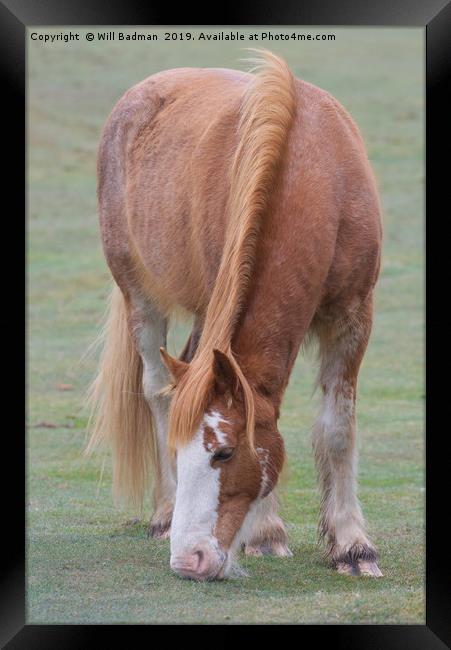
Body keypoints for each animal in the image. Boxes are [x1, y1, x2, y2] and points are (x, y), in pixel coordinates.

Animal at [87, 49, 384, 576]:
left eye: (223, 453)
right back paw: (164, 513)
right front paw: (265, 533)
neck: (314, 173)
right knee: (156, 391)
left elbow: (337, 429)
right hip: (141, 296)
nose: (190, 558)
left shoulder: (353, 316)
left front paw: (352, 545)